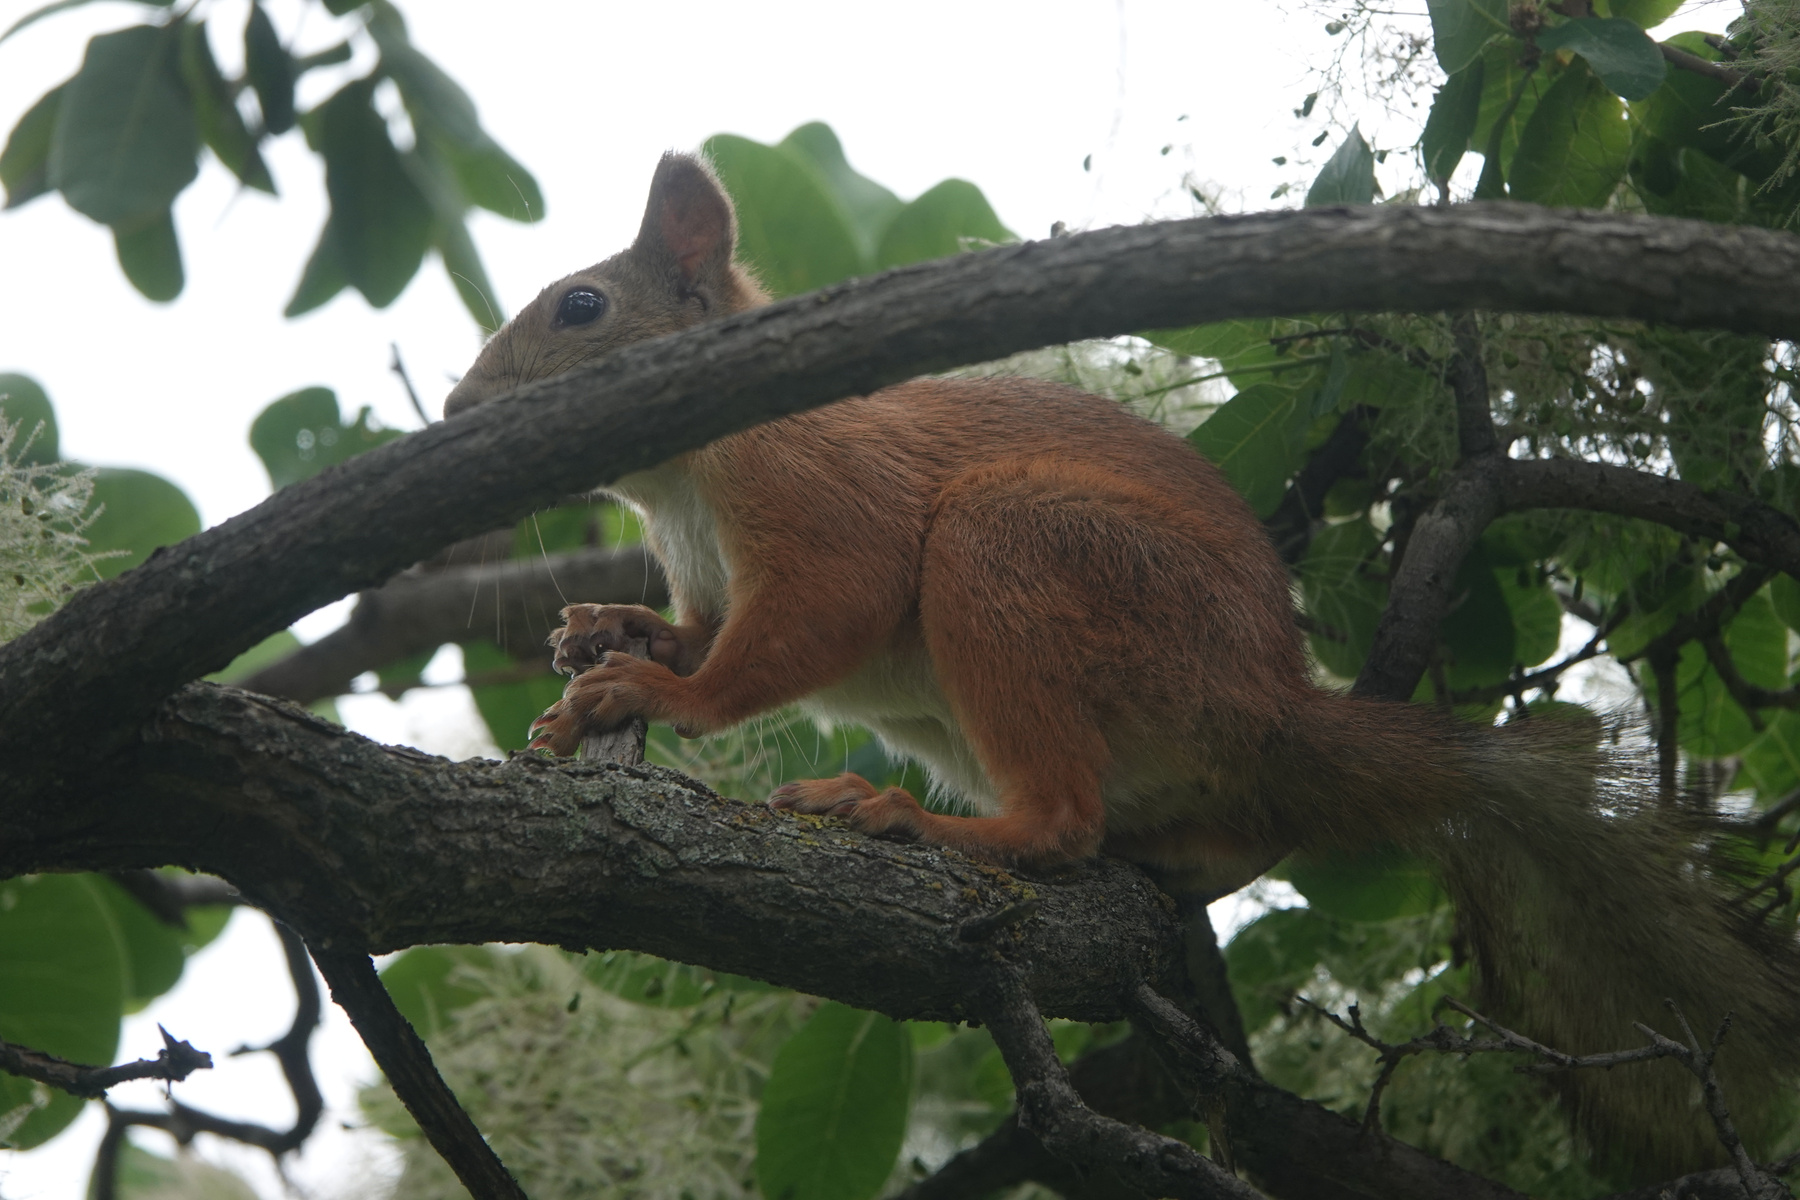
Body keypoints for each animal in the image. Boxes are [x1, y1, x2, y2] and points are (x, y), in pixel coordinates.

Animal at [444, 152, 1800, 1172]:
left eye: (581, 306)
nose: (457, 415)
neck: (680, 481)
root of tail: (1272, 712)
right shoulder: (708, 569)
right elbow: (701, 623)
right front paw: (606, 630)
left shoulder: (826, 501)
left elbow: (804, 625)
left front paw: (653, 690)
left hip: (1026, 554)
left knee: (1060, 822)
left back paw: (914, 820)